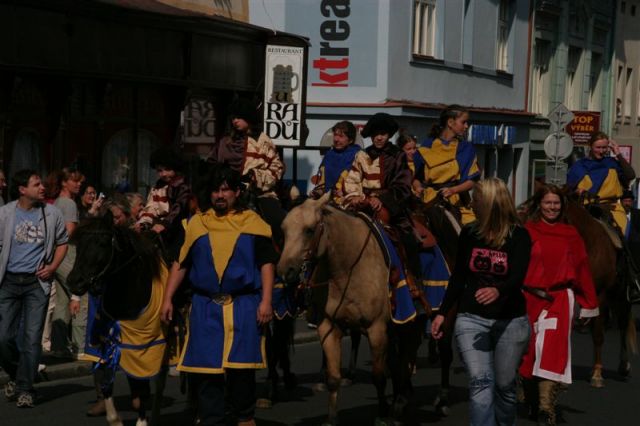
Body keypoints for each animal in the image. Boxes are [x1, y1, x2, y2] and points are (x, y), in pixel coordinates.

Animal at [67, 216, 169, 426]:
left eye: (102, 243)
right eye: (78, 244)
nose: (74, 282)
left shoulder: (145, 347)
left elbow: (142, 387)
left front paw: (142, 421)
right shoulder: (113, 344)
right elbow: (108, 383)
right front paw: (115, 419)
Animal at [276, 194, 418, 426]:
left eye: (309, 230)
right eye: (284, 229)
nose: (284, 272)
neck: (346, 268)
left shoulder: (376, 328)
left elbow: (378, 376)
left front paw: (382, 414)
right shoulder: (328, 326)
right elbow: (334, 378)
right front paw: (332, 418)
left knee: (408, 355)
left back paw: (403, 402)